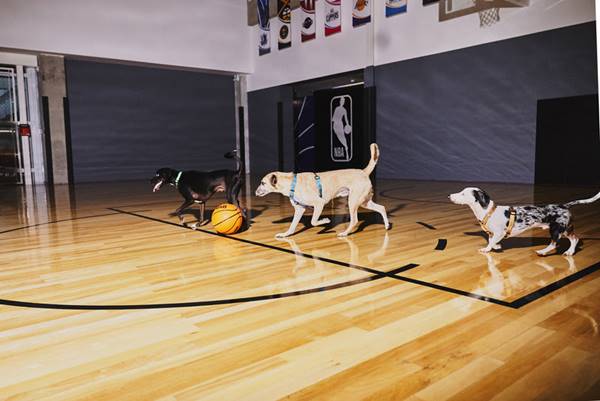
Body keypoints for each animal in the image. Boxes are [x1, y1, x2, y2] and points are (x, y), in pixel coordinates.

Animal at [255, 144, 392, 238]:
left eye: (263, 183)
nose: (255, 192)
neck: (292, 183)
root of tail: (363, 172)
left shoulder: (319, 204)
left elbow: (313, 221)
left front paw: (325, 221)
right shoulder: (300, 209)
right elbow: (292, 226)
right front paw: (285, 234)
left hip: (353, 201)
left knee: (354, 220)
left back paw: (344, 233)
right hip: (364, 201)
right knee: (381, 208)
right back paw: (386, 225)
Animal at [450, 187, 600, 255]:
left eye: (463, 194)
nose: (449, 195)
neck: (488, 211)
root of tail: (565, 205)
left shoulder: (499, 232)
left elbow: (491, 242)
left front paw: (487, 249)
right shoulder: (492, 233)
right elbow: (492, 240)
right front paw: (496, 247)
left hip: (556, 229)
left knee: (553, 244)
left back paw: (543, 251)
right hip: (566, 229)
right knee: (575, 239)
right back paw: (569, 252)